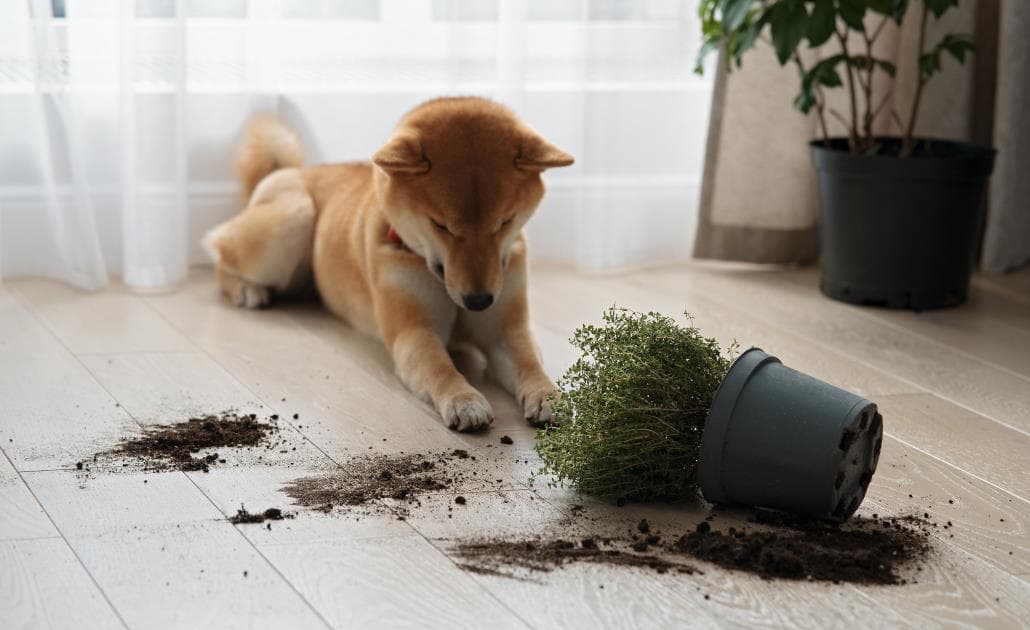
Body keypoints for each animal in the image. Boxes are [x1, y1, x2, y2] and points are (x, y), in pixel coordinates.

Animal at [200, 98, 572, 432]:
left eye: (504, 223)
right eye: (441, 226)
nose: (479, 301)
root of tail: (291, 170)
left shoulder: (506, 330)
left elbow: (530, 363)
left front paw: (550, 397)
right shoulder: (414, 332)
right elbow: (440, 367)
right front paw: (463, 400)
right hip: (295, 218)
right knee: (219, 250)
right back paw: (246, 289)